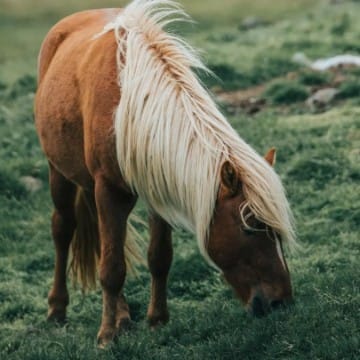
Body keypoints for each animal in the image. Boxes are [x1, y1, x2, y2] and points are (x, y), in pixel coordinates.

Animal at [35, 0, 296, 348]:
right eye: (250, 227)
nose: (282, 302)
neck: (129, 104)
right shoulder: (109, 191)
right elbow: (111, 269)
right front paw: (106, 337)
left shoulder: (157, 188)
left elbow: (158, 258)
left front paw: (157, 320)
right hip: (59, 174)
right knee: (63, 229)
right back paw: (58, 310)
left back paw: (122, 315)